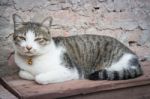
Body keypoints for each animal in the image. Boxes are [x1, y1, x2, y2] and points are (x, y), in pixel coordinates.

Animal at [12, 13, 142, 84]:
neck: (32, 61)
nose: (28, 47)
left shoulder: (71, 71)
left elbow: (39, 77)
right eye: (22, 37)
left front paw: (37, 76)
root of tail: (135, 59)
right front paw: (29, 74)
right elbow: (22, 73)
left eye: (38, 39)